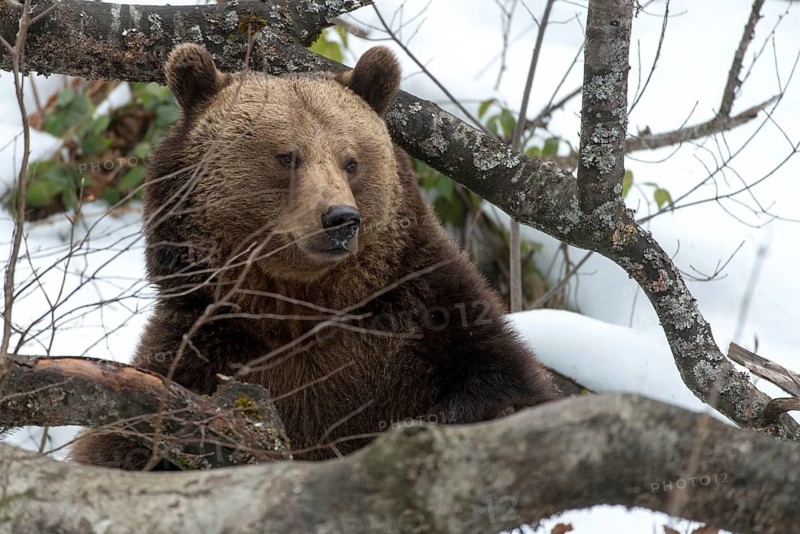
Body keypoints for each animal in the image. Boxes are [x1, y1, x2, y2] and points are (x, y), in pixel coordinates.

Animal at [70, 43, 561, 469]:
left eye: (352, 160)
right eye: (287, 156)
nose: (340, 218)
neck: (303, 309)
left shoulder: (431, 317)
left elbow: (507, 390)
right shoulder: (196, 349)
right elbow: (126, 446)